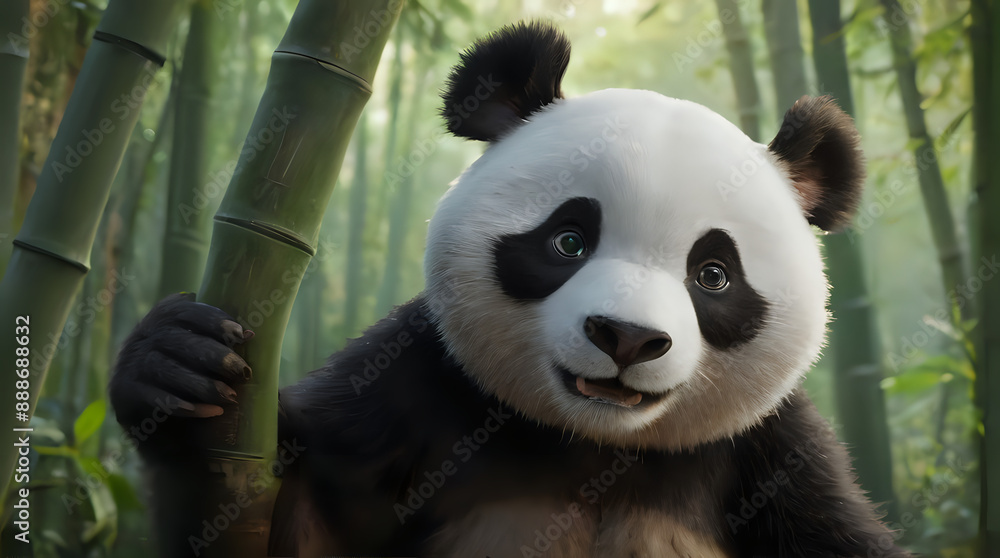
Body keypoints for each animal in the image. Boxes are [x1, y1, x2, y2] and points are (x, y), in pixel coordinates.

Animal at [110, 21, 912, 558]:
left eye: (712, 275)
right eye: (569, 241)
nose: (626, 338)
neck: (592, 442)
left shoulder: (769, 452)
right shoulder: (415, 383)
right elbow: (298, 522)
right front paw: (174, 367)